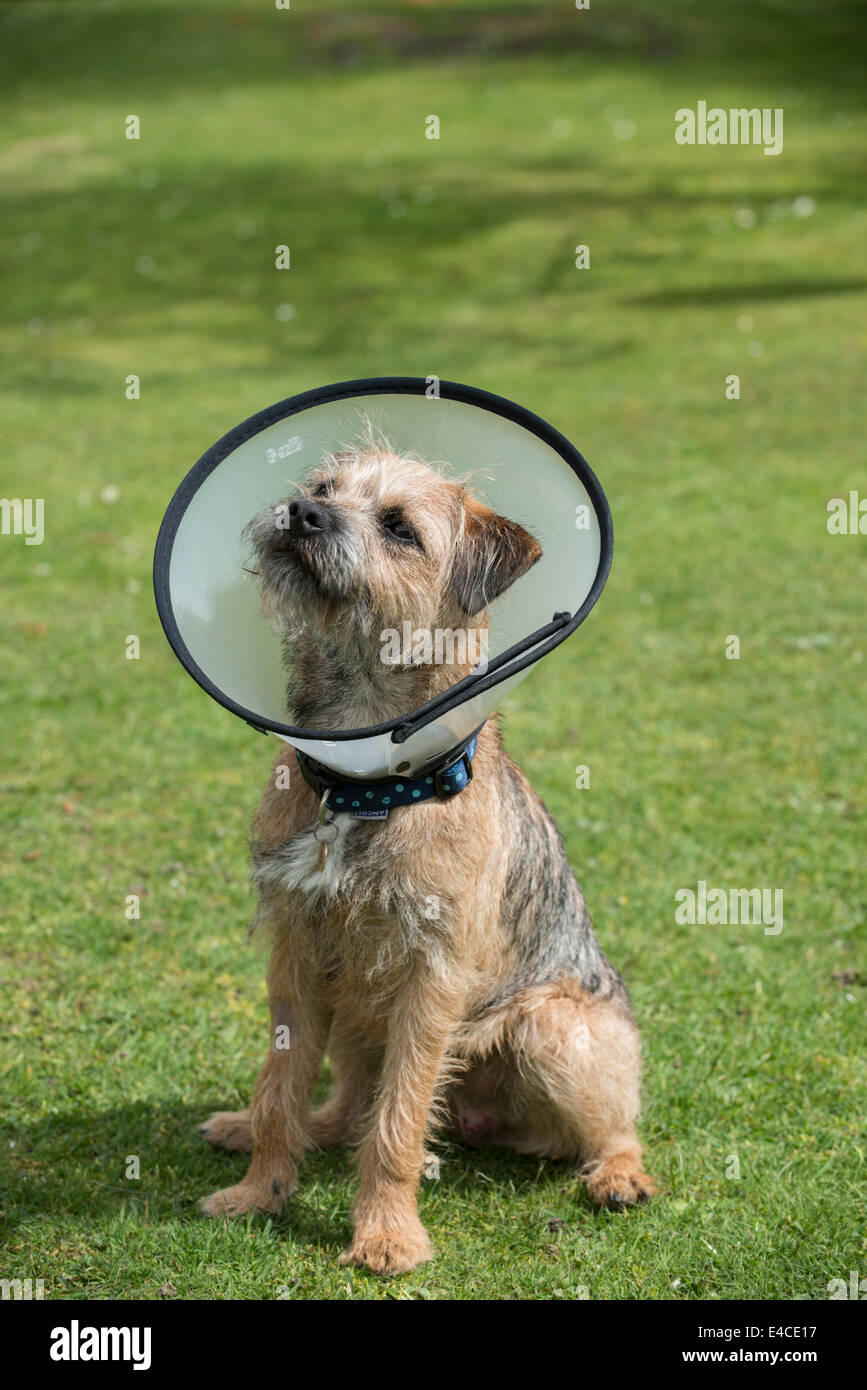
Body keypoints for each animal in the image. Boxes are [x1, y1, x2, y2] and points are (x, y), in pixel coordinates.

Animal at [198, 442, 655, 1273]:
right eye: (322, 488)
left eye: (398, 527)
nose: (303, 513)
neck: (366, 783)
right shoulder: (296, 953)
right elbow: (280, 1083)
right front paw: (258, 1192)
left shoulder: (430, 977)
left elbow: (399, 1119)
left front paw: (385, 1234)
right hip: (351, 1009)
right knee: (343, 1105)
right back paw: (262, 1129)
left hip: (552, 1027)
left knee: (610, 1126)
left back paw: (618, 1175)